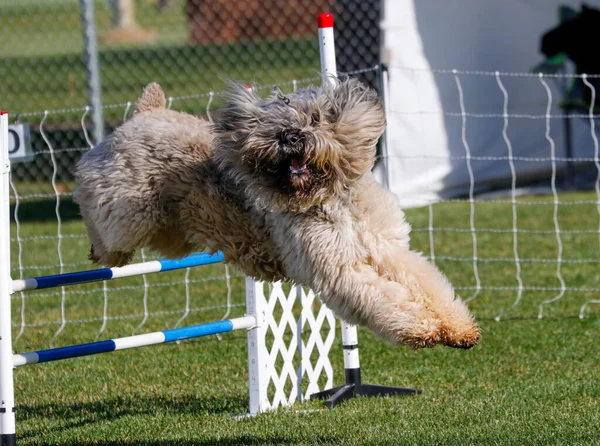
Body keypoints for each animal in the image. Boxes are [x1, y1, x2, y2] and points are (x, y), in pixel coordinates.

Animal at [75, 82, 480, 350]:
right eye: (273, 124)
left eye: (316, 118)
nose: (291, 137)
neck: (329, 198)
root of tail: (147, 112)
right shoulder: (340, 268)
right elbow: (384, 298)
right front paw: (421, 328)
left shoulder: (389, 252)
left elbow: (427, 284)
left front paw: (458, 329)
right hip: (128, 212)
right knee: (97, 217)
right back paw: (99, 252)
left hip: (170, 229)